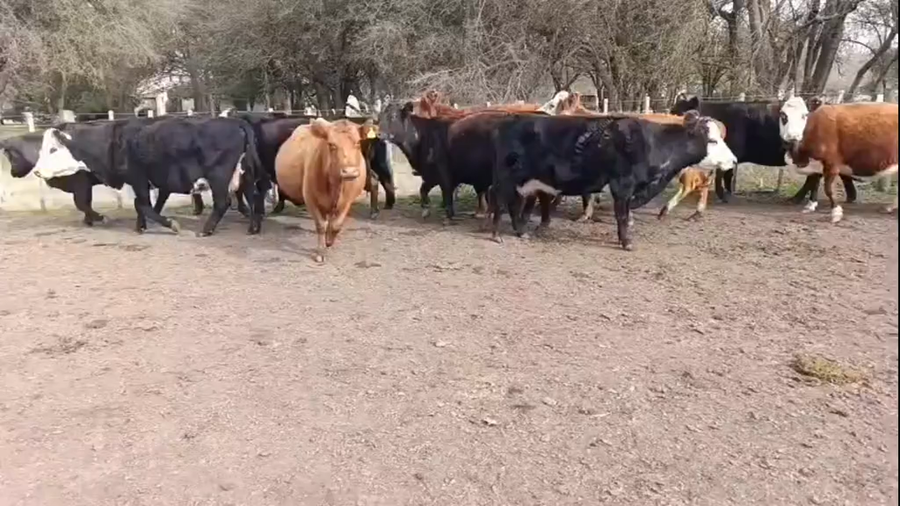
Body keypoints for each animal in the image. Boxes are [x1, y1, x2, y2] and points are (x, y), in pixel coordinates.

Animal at [32, 116, 267, 236]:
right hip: (245, 174)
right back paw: (253, 227)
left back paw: (206, 230)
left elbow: (143, 204)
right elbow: (150, 204)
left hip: (218, 176)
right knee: (253, 195)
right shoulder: (157, 182)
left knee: (222, 202)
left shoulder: (137, 178)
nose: (36, 171)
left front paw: (169, 224)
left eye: (52, 149)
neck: (115, 142)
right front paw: (142, 225)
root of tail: (237, 122)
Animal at [274, 118, 369, 263]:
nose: (349, 172)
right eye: (331, 145)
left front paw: (329, 242)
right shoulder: (310, 199)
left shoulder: (347, 201)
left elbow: (336, 225)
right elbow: (320, 225)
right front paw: (320, 251)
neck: (335, 185)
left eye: (358, 142)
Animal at [486, 111, 737, 249]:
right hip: (506, 178)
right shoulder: (623, 185)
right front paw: (626, 242)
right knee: (499, 199)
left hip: (523, 182)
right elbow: (622, 214)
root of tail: (510, 119)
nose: (734, 160)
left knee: (513, 204)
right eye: (712, 140)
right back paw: (496, 234)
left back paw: (520, 231)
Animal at [670, 95, 857, 205]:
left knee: (814, 178)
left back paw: (798, 199)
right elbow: (727, 175)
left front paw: (724, 196)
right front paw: (729, 194)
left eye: (680, 112)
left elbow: (724, 174)